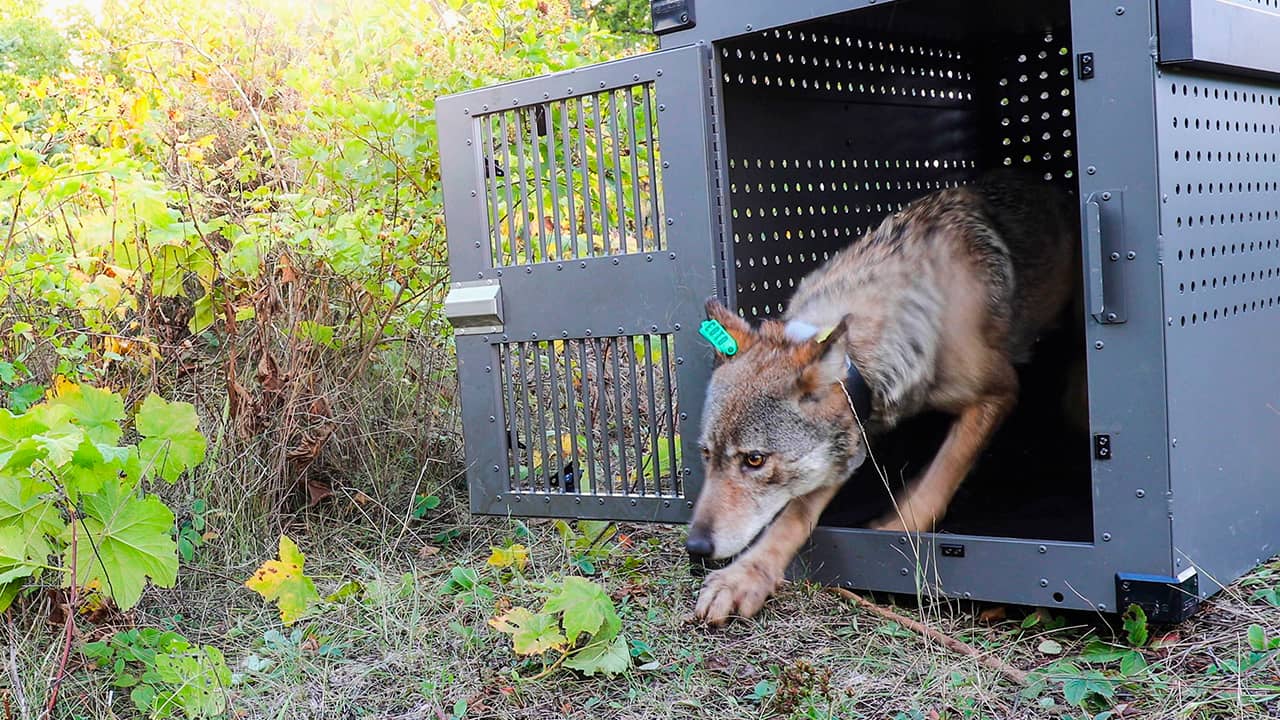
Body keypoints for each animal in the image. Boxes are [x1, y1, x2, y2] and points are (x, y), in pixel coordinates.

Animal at [687, 171, 1077, 625]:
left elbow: (940, 475)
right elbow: (794, 514)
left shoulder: (999, 390)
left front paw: (895, 531)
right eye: (707, 455)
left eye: (754, 460)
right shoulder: (853, 433)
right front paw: (744, 577)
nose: (695, 547)